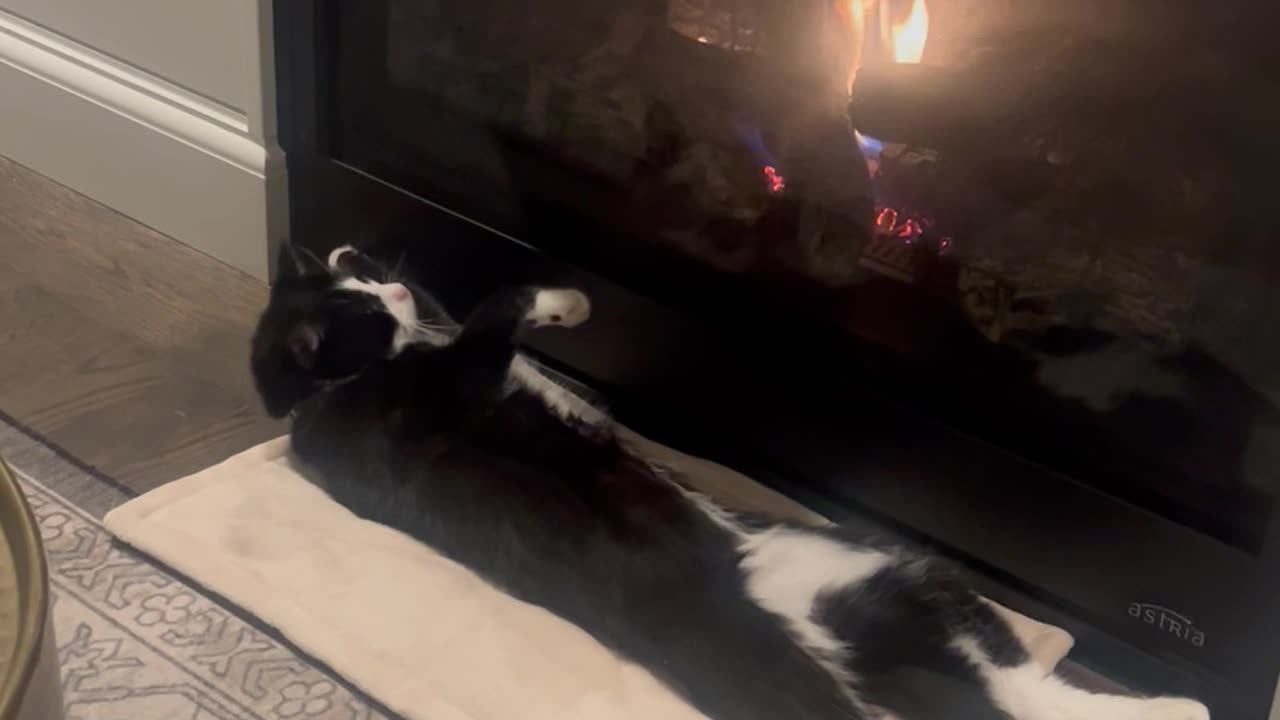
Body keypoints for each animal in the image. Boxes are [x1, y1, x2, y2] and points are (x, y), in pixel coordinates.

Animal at [249, 242, 1208, 717]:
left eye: (362, 284)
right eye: (362, 309)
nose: (395, 288)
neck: (330, 395)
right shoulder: (464, 376)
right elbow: (503, 302)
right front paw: (571, 300)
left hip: (891, 591)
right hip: (866, 593)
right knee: (1020, 691)